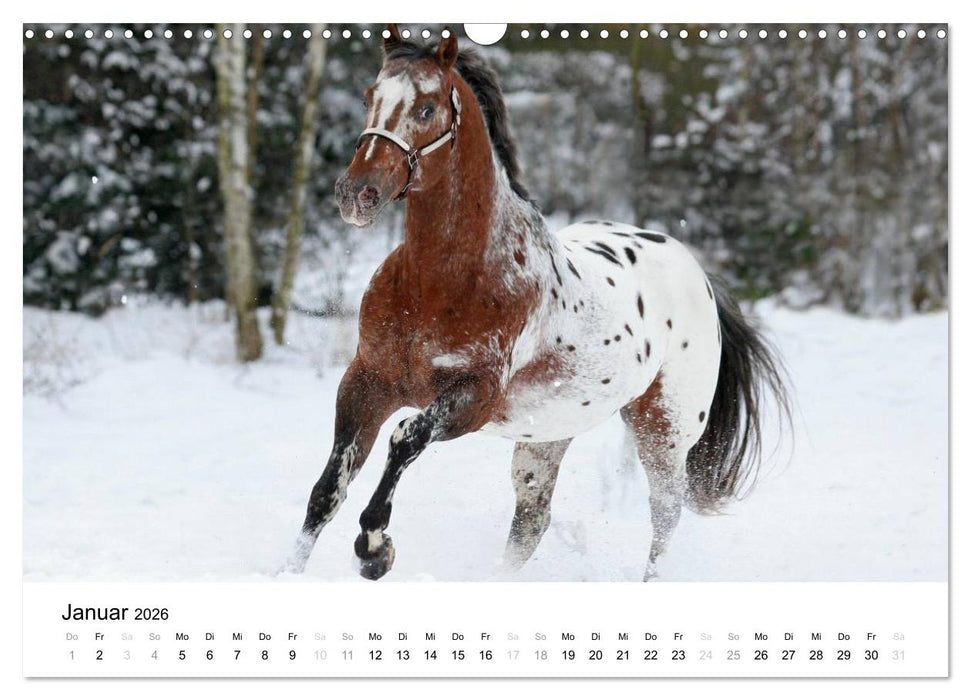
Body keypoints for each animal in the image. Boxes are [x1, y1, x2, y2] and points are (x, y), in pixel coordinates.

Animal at [284, 26, 790, 581]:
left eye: (426, 108)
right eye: (369, 98)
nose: (357, 193)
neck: (439, 284)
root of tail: (696, 272)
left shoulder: (474, 398)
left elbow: (405, 438)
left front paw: (375, 548)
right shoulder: (366, 383)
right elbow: (325, 494)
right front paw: (287, 573)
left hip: (665, 430)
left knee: (665, 516)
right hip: (548, 435)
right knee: (532, 521)